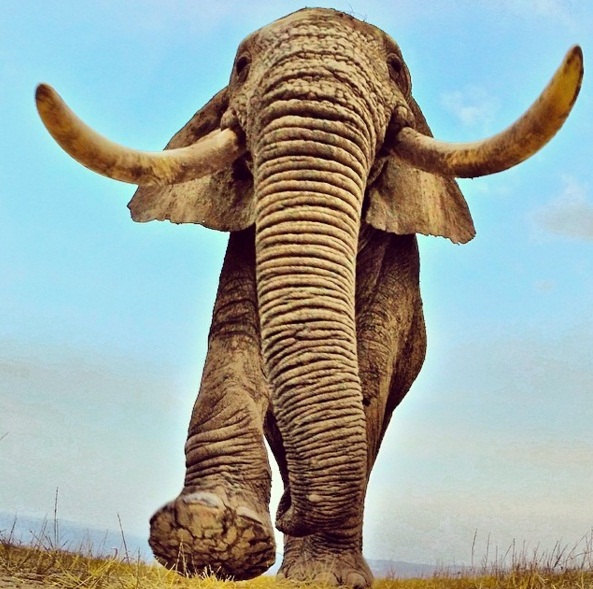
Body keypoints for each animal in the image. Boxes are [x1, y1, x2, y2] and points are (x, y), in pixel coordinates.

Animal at [37, 5, 584, 588]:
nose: (288, 513)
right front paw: (211, 535)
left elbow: (366, 373)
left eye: (397, 69)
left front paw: (320, 575)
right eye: (240, 65)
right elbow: (235, 346)